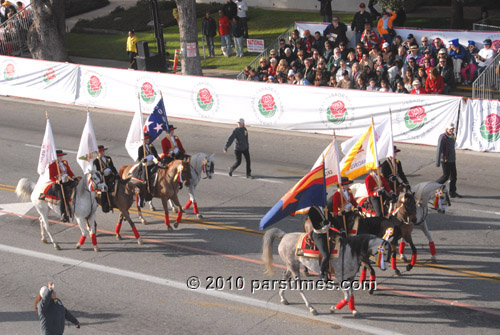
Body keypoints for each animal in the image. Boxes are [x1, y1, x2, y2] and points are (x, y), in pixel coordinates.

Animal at [262, 228, 390, 318]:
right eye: (384, 252)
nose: (386, 267)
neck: (351, 250)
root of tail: (285, 236)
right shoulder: (341, 278)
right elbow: (347, 296)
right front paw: (333, 308)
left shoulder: (350, 278)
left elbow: (351, 295)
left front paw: (354, 310)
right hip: (294, 267)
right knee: (299, 287)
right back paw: (311, 308)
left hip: (291, 266)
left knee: (284, 278)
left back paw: (283, 299)